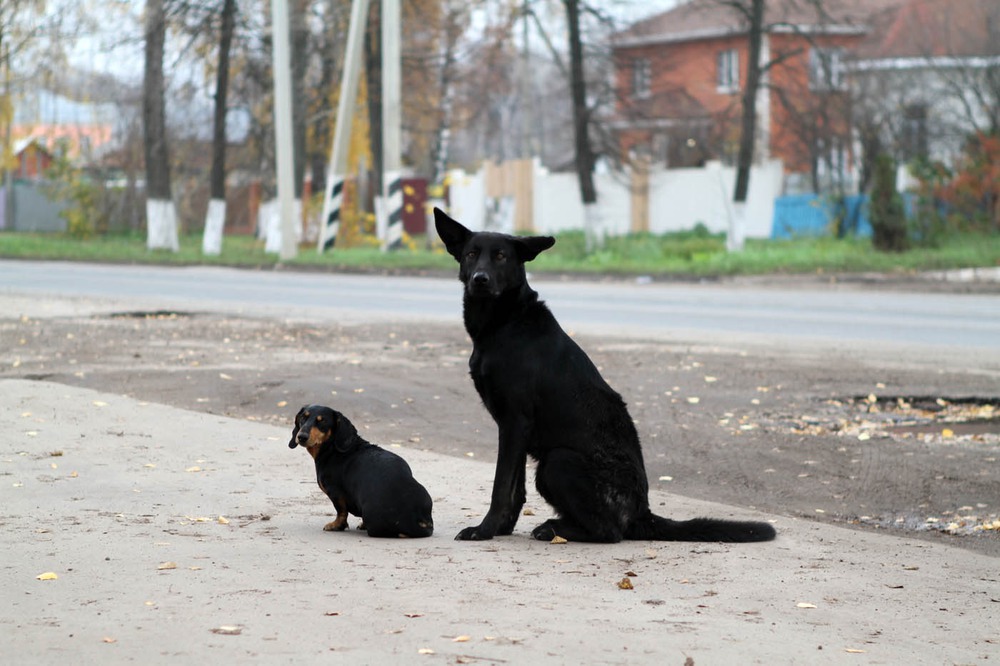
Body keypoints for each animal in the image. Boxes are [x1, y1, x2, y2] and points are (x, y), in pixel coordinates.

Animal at [288, 402, 432, 536]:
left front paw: (336, 525)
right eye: (303, 417)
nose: (301, 437)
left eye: (322, 421)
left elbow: (341, 511)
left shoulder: (335, 493)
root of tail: (413, 518)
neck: (332, 448)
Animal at [436, 209, 772, 544]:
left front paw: (484, 530)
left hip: (557, 462)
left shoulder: (515, 423)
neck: (506, 322)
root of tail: (641, 514)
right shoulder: (512, 428)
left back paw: (556, 529)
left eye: (501, 256)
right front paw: (501, 528)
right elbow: (514, 489)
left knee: (609, 532)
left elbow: (501, 487)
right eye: (471, 254)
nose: (480, 279)